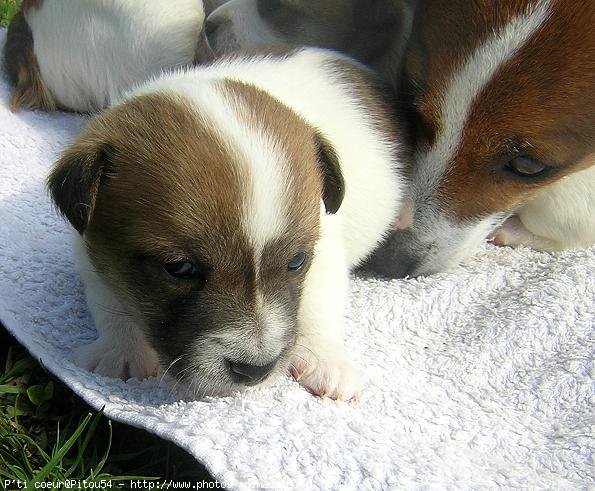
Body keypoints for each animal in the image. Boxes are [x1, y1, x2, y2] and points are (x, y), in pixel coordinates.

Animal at [49, 47, 408, 400]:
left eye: (296, 262)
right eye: (179, 268)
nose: (255, 371)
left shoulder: (325, 249)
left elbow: (320, 303)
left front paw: (327, 360)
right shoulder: (93, 255)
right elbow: (109, 303)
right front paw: (121, 352)